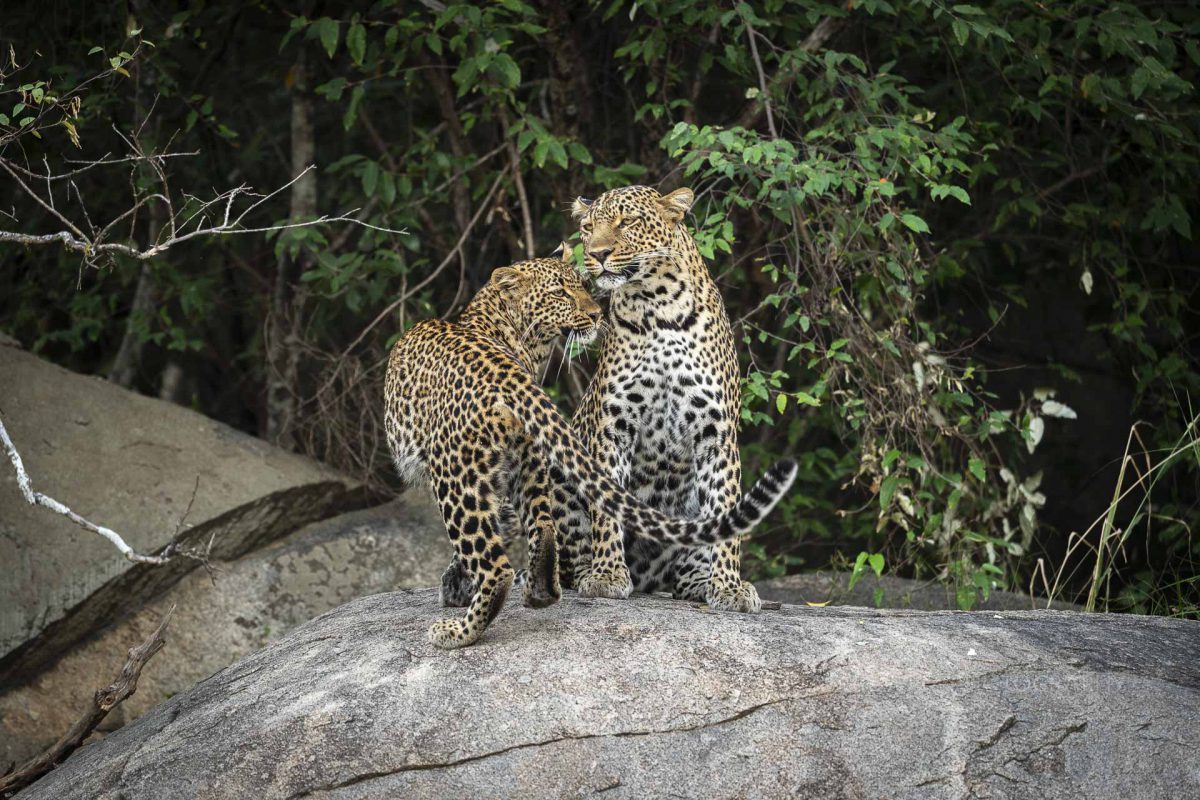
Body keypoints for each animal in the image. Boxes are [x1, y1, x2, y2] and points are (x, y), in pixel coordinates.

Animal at [556, 185, 763, 614]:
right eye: (588, 228)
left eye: (628, 222)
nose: (597, 254)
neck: (657, 308)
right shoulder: (613, 427)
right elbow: (606, 508)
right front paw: (606, 575)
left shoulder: (716, 433)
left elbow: (726, 509)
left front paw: (730, 587)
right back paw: (586, 574)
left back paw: (700, 582)